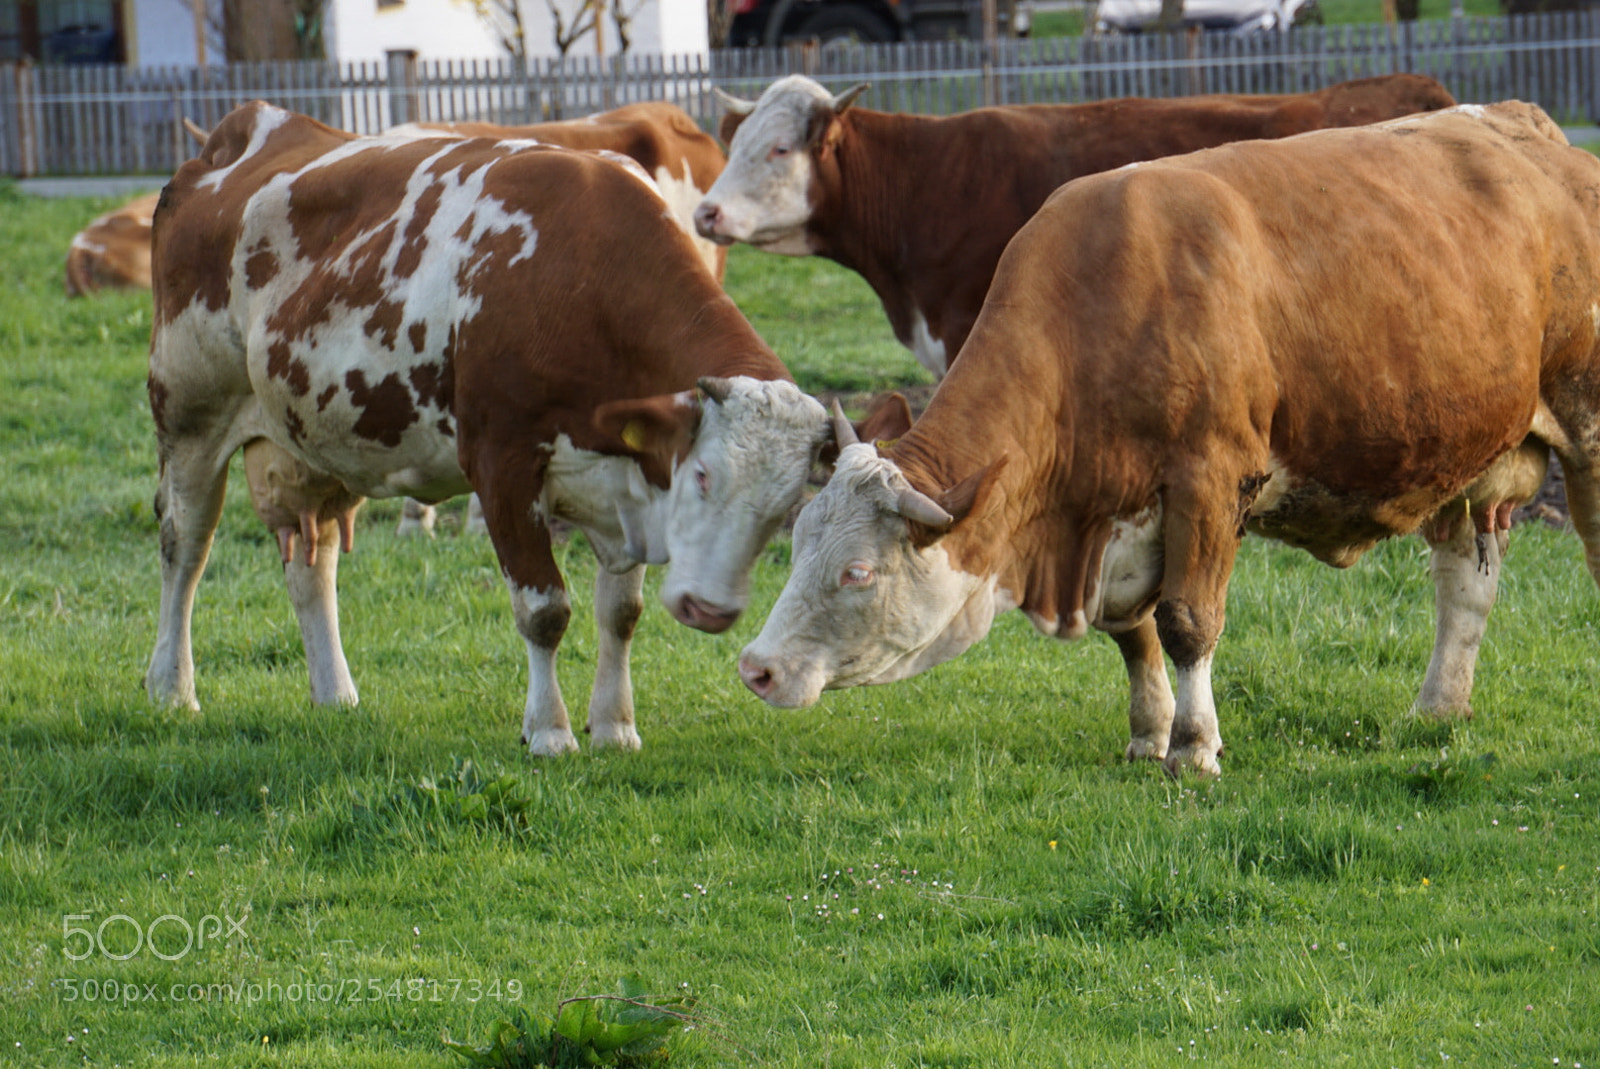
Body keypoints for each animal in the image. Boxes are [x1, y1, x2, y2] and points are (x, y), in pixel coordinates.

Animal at [735, 102, 1600, 778]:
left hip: (1585, 428)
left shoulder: (1211, 482)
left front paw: (1194, 745)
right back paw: (1438, 707)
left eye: (857, 571)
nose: (756, 666)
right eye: (796, 539)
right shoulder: (1115, 516)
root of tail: (1535, 132)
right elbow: (1133, 630)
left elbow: (1188, 621)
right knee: (1465, 584)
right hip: (1466, 460)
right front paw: (1148, 733)